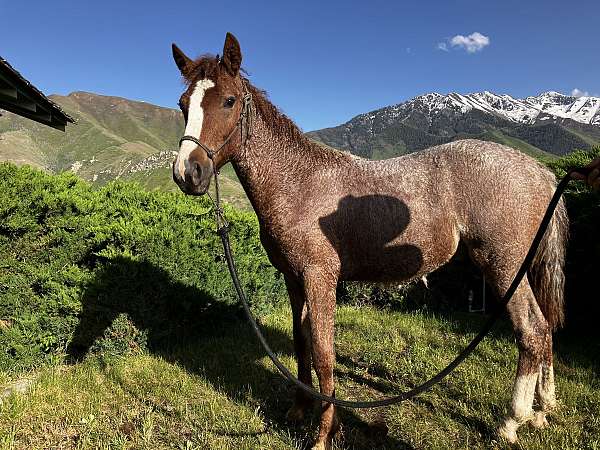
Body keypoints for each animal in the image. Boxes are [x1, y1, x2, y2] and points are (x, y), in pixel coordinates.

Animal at [169, 33, 568, 448]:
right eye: (183, 103)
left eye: (229, 100)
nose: (187, 172)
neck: (299, 182)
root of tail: (540, 172)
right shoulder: (294, 279)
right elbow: (300, 343)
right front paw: (298, 410)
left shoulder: (320, 279)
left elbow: (325, 355)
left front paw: (324, 434)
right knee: (545, 332)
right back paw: (542, 411)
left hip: (505, 267)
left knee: (532, 331)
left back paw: (512, 421)